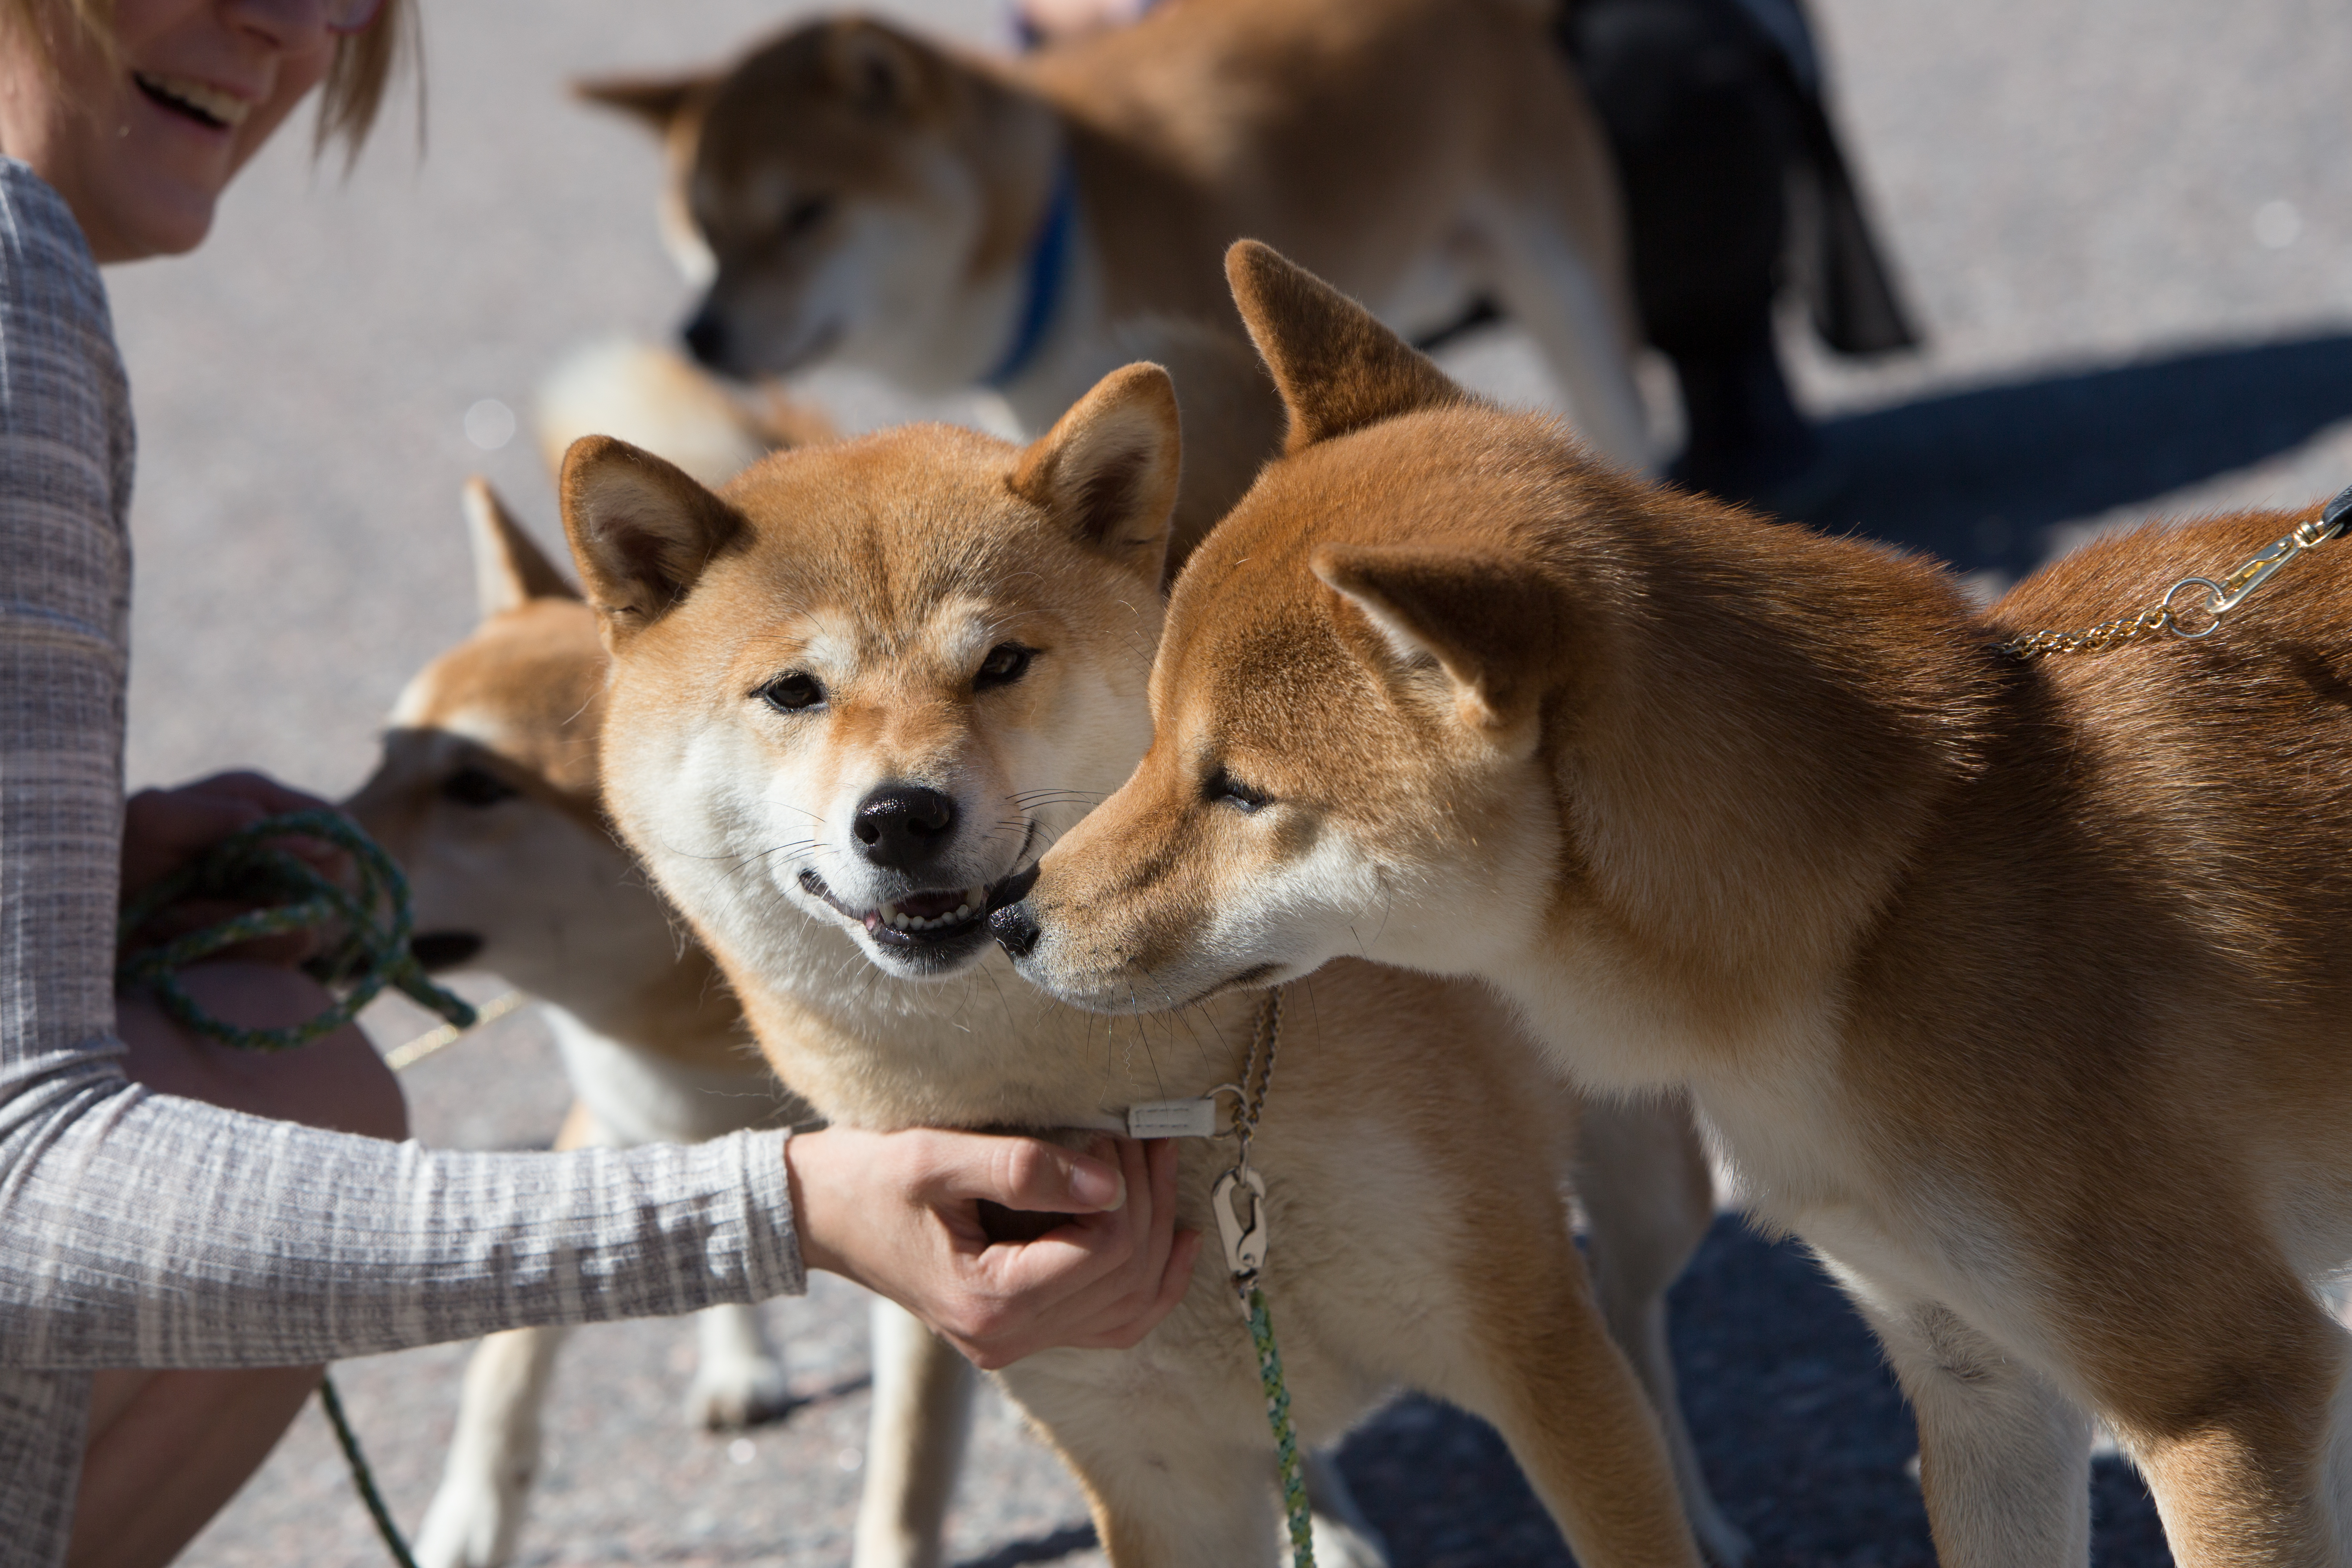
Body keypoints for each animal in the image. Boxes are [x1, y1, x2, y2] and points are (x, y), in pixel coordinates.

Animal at [550, 369, 1759, 1561]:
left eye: (1000, 664)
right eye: (793, 692)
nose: (901, 818)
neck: (1149, 1106)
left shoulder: (1528, 1345)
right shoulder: (1147, 1468)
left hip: (1652, 1190)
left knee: (1637, 1324)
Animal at [1007, 236, 2352, 1568]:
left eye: (1238, 789)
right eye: (1152, 738)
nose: (1011, 918)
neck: (1880, 910)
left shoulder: (2225, 1395)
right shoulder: (1982, 1385)